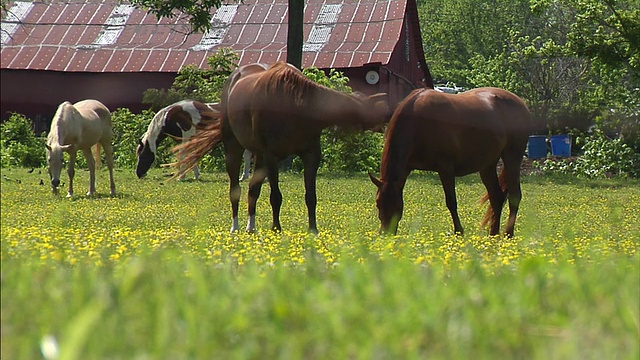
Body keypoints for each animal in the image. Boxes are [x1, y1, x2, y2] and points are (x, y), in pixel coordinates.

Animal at [172, 62, 388, 233]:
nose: (386, 124)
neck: (293, 104)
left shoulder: (311, 154)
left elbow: (311, 196)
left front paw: (313, 229)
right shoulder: (272, 157)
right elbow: (275, 196)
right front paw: (276, 228)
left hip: (258, 156)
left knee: (253, 189)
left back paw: (251, 227)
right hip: (234, 148)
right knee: (235, 189)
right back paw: (235, 227)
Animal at [368, 87, 532, 236]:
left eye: (395, 204)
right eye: (378, 203)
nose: (385, 234)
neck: (418, 122)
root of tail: (521, 103)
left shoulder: (445, 169)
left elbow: (451, 202)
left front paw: (459, 231)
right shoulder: (407, 168)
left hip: (512, 158)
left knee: (514, 196)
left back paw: (508, 233)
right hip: (487, 165)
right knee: (496, 197)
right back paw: (493, 234)